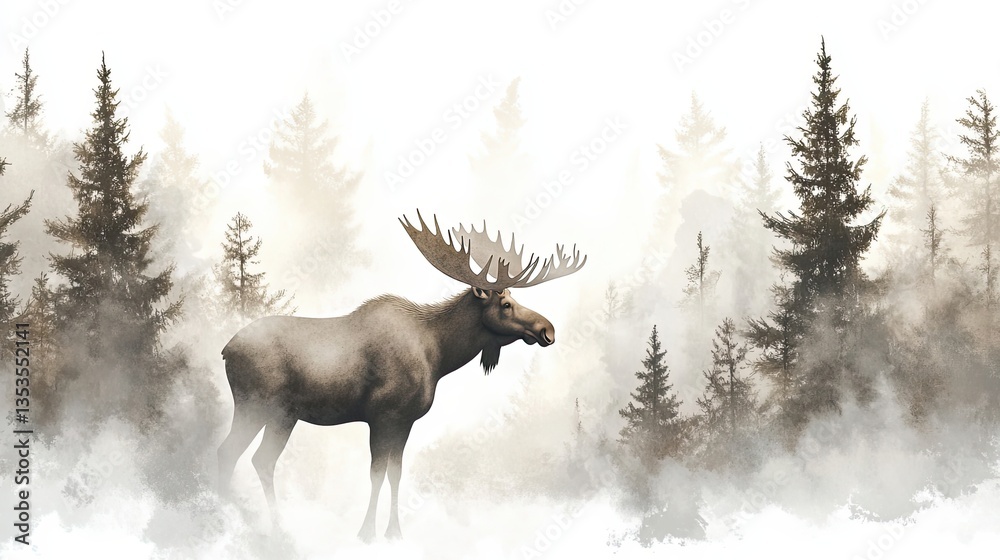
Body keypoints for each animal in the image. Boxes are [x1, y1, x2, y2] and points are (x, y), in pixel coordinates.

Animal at [216, 211, 586, 542]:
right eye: (506, 304)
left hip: (284, 415)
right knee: (231, 453)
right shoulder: (383, 415)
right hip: (258, 406)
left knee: (255, 459)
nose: (548, 330)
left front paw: (394, 532)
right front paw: (366, 533)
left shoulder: (405, 420)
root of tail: (225, 350)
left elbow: (396, 473)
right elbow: (376, 474)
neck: (437, 355)